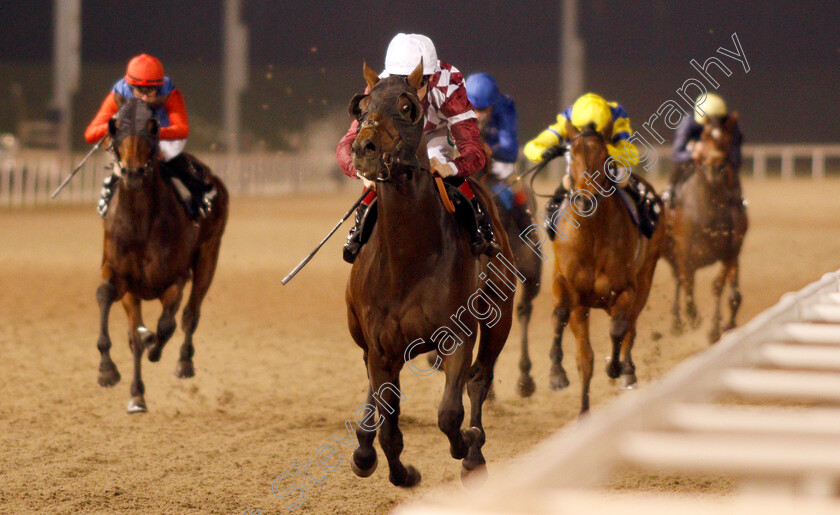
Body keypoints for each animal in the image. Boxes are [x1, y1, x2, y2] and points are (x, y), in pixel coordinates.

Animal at [94, 94, 228, 414]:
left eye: (153, 126)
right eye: (115, 124)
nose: (131, 173)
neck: (139, 225)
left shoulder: (176, 279)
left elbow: (166, 325)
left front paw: (154, 345)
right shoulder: (120, 277)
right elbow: (106, 298)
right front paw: (110, 373)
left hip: (209, 254)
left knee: (191, 314)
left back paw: (184, 362)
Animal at [344, 61, 516, 488]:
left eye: (407, 107)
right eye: (362, 107)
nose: (364, 148)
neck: (409, 260)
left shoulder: (456, 336)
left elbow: (450, 413)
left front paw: (468, 447)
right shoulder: (382, 347)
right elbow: (389, 425)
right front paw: (398, 470)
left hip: (500, 316)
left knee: (480, 378)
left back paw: (475, 446)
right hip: (361, 335)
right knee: (371, 385)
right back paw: (363, 446)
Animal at [552, 122, 664, 416]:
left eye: (605, 156)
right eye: (572, 155)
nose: (585, 200)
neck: (591, 234)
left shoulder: (625, 290)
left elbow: (618, 330)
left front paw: (615, 368)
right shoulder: (572, 293)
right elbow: (582, 354)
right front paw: (560, 378)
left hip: (645, 279)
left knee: (630, 328)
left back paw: (627, 371)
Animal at [664, 115, 748, 344]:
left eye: (729, 139)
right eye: (704, 137)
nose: (717, 167)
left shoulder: (731, 251)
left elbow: (725, 290)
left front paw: (720, 327)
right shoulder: (684, 252)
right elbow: (688, 287)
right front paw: (695, 319)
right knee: (679, 281)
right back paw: (677, 323)